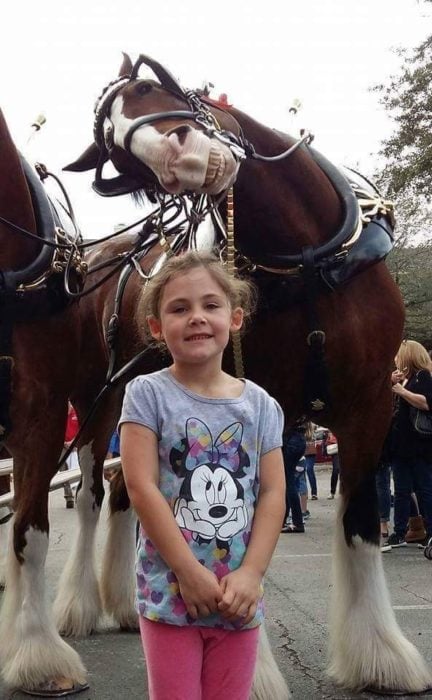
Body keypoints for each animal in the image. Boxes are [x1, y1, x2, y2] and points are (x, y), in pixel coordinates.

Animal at [39, 49, 432, 696]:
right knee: (94, 493)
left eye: (148, 88)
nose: (185, 159)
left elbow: (360, 521)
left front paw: (381, 657)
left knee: (124, 494)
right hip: (98, 400)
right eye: (120, 161)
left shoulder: (370, 405)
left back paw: (124, 607)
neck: (306, 259)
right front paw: (253, 673)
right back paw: (78, 607)